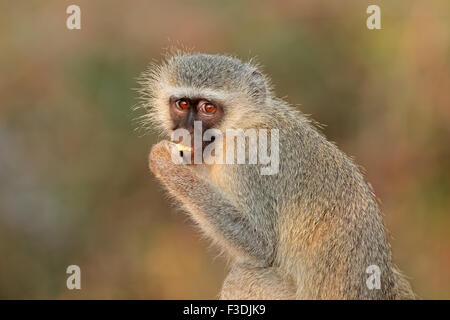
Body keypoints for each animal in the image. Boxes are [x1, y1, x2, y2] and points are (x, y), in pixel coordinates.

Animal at [140, 51, 414, 298]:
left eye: (209, 108)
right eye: (182, 104)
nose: (187, 131)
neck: (241, 127)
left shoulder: (249, 160)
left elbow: (260, 246)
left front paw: (167, 164)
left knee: (241, 278)